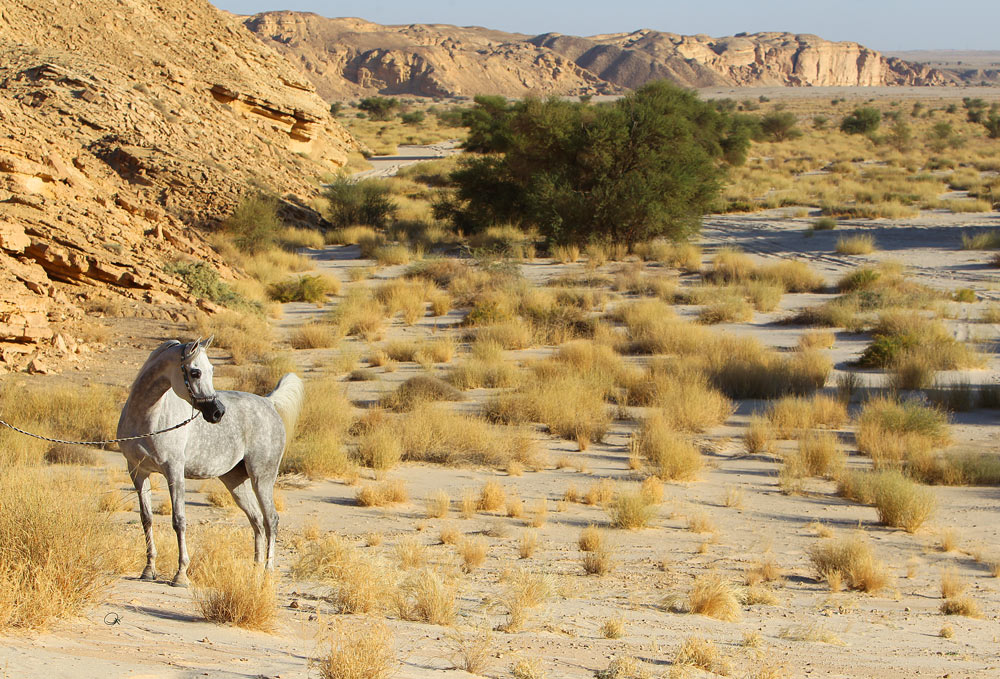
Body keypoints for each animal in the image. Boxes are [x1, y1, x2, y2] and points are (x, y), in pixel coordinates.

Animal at [117, 337, 303, 586]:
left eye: (212, 370)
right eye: (195, 372)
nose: (218, 412)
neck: (148, 417)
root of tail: (268, 403)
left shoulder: (174, 472)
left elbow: (179, 520)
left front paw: (181, 574)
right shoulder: (137, 472)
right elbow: (146, 519)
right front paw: (148, 570)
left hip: (262, 478)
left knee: (271, 520)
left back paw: (267, 571)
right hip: (235, 481)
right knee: (256, 520)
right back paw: (255, 570)